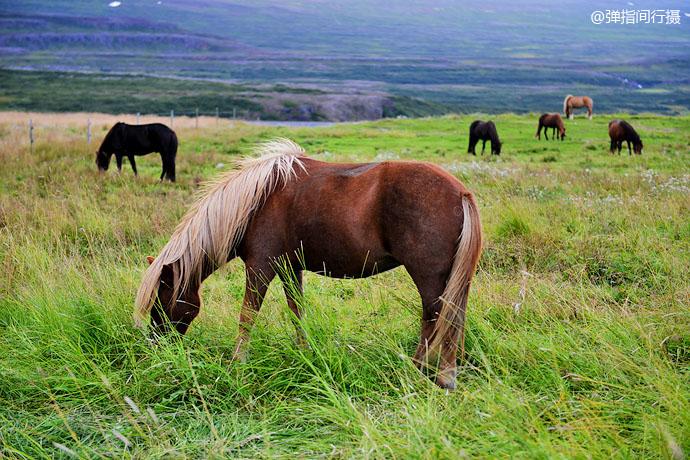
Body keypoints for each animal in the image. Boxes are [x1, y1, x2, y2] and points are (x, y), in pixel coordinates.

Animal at [133, 138, 478, 390]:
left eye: (161, 300)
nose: (157, 345)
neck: (255, 202)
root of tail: (461, 192)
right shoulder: (290, 268)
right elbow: (296, 311)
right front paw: (304, 354)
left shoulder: (260, 267)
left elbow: (247, 316)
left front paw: (236, 362)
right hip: (452, 278)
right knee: (450, 317)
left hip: (428, 276)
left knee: (436, 317)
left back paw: (431, 372)